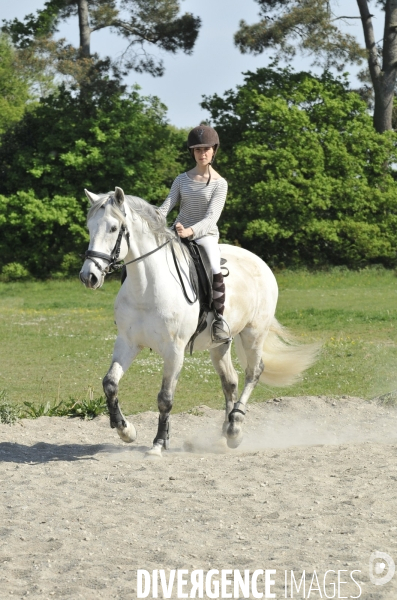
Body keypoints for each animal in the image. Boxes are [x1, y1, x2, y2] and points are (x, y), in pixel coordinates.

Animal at [79, 188, 318, 454]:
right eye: (90, 227)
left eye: (113, 228)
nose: (88, 276)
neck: (146, 287)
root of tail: (258, 261)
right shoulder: (127, 343)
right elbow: (110, 383)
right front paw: (126, 430)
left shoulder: (174, 350)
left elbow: (165, 398)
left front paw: (158, 443)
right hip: (220, 344)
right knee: (230, 381)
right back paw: (224, 434)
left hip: (254, 333)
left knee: (253, 372)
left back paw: (235, 428)